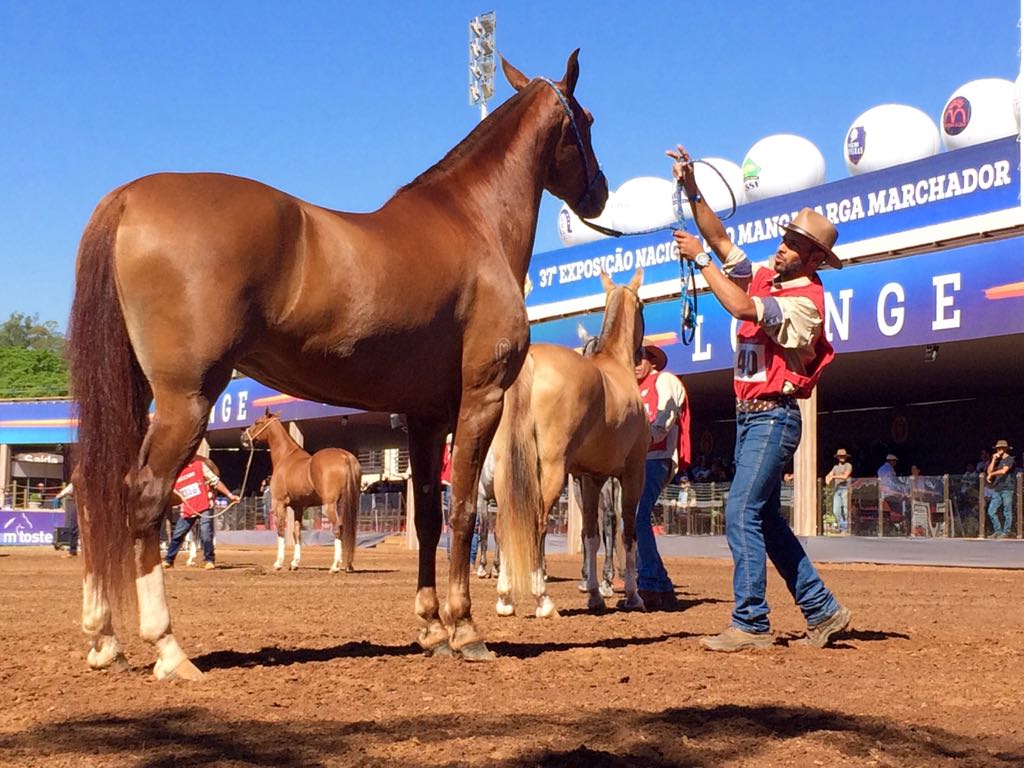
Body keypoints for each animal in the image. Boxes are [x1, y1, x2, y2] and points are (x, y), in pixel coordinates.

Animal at [241, 411, 362, 573]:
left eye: (257, 422)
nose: (243, 437)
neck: (285, 457)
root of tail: (344, 456)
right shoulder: (297, 507)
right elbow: (296, 532)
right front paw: (294, 563)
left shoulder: (279, 503)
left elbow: (281, 530)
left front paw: (278, 563)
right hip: (346, 503)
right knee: (348, 529)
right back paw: (348, 565)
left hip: (329, 505)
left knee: (338, 528)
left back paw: (335, 566)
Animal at [489, 270, 647, 618]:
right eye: (643, 305)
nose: (643, 354)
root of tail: (530, 361)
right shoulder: (632, 473)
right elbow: (628, 533)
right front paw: (633, 595)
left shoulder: (589, 477)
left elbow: (590, 535)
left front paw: (595, 595)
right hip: (550, 470)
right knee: (536, 522)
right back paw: (543, 600)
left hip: (508, 469)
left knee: (504, 523)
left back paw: (505, 599)